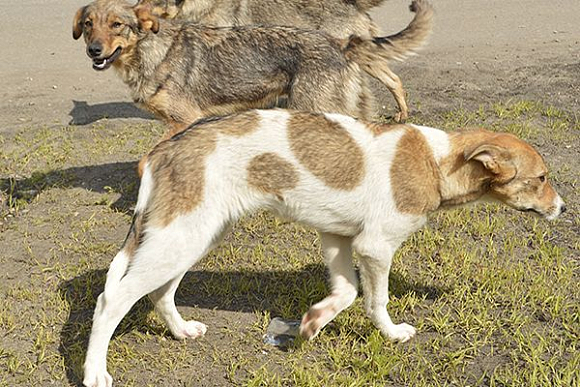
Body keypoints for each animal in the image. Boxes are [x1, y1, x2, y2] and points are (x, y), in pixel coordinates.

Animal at [84, 108, 564, 384]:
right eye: (541, 178)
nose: (562, 207)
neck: (436, 162)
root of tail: (163, 149)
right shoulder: (375, 247)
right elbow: (376, 301)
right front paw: (392, 334)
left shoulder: (337, 238)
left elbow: (346, 293)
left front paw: (313, 323)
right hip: (178, 238)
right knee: (111, 301)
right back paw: (94, 372)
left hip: (192, 236)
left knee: (160, 292)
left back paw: (181, 330)